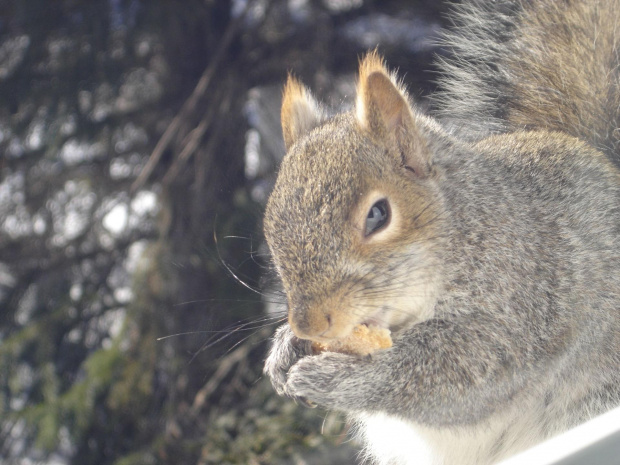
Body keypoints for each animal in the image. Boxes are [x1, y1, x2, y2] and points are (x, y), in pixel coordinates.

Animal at [262, 1, 620, 462]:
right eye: (271, 224)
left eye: (378, 215)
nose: (310, 325)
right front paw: (284, 347)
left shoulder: (521, 304)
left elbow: (451, 373)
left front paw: (335, 379)